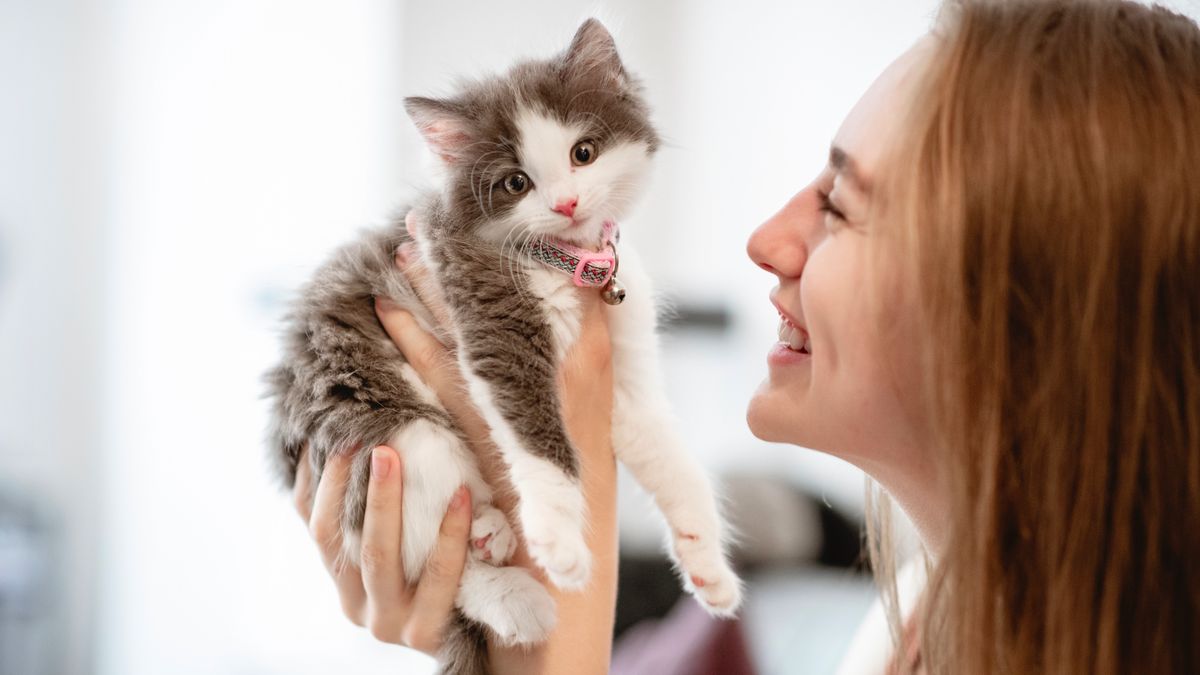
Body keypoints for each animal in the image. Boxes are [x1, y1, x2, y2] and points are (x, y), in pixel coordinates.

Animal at [265, 18, 739, 667]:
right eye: (517, 183)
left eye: (583, 153)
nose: (566, 202)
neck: (570, 265)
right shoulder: (486, 307)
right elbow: (538, 435)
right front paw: (560, 539)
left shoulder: (626, 361)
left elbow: (667, 451)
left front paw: (706, 562)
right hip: (388, 433)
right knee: (425, 563)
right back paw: (514, 596)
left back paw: (491, 531)